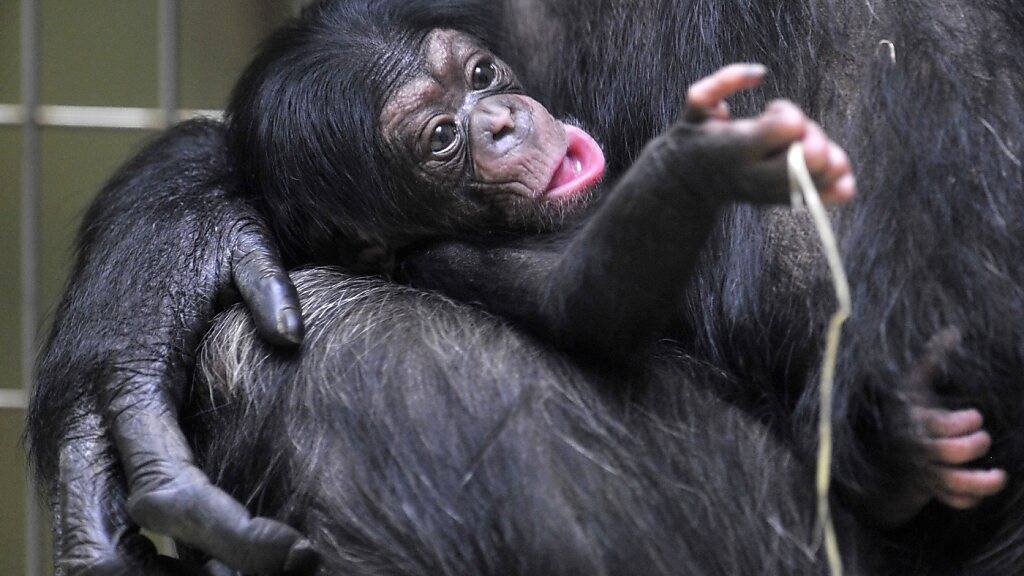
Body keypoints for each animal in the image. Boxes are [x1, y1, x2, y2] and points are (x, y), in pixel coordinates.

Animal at [28, 0, 1024, 569]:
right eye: (442, 137)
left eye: (480, 74)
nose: (500, 119)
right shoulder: (455, 250)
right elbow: (583, 298)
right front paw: (149, 279)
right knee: (339, 362)